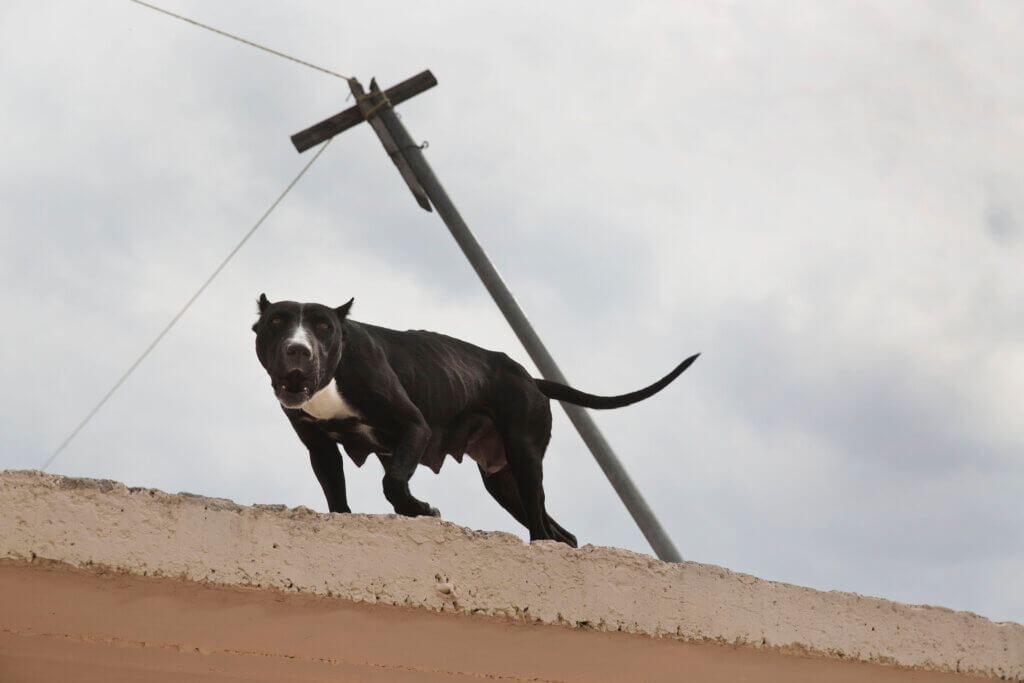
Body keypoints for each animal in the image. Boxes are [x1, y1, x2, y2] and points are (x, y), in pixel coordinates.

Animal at [249, 294, 696, 548]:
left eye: (324, 326)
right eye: (277, 322)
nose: (298, 349)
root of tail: (531, 378)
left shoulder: (414, 427)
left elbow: (393, 482)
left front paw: (421, 509)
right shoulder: (320, 449)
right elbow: (338, 497)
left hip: (524, 458)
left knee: (541, 526)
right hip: (502, 479)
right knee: (559, 532)